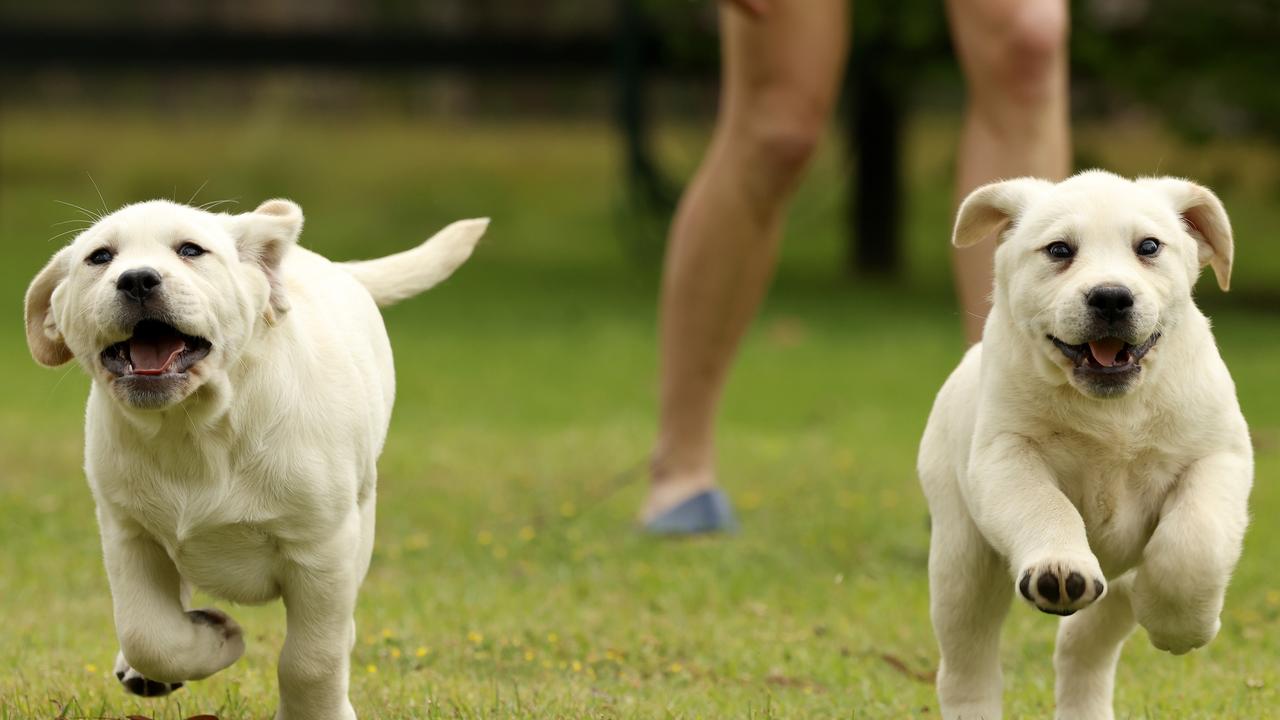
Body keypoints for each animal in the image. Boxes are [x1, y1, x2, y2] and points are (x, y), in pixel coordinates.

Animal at [26, 197, 483, 717]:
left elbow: (311, 659)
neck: (195, 430)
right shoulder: (128, 534)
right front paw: (214, 639)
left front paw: (317, 712)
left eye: (190, 250)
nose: (137, 279)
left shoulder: (322, 550)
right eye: (100, 258)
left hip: (361, 518)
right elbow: (149, 634)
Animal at [921, 169, 1249, 717]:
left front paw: (1181, 627)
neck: (1112, 410)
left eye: (1149, 247)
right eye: (1059, 250)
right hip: (961, 557)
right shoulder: (1005, 455)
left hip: (1112, 592)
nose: (1112, 297)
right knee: (967, 664)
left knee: (1081, 648)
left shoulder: (1218, 457)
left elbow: (1193, 545)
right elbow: (1045, 506)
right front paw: (1059, 568)